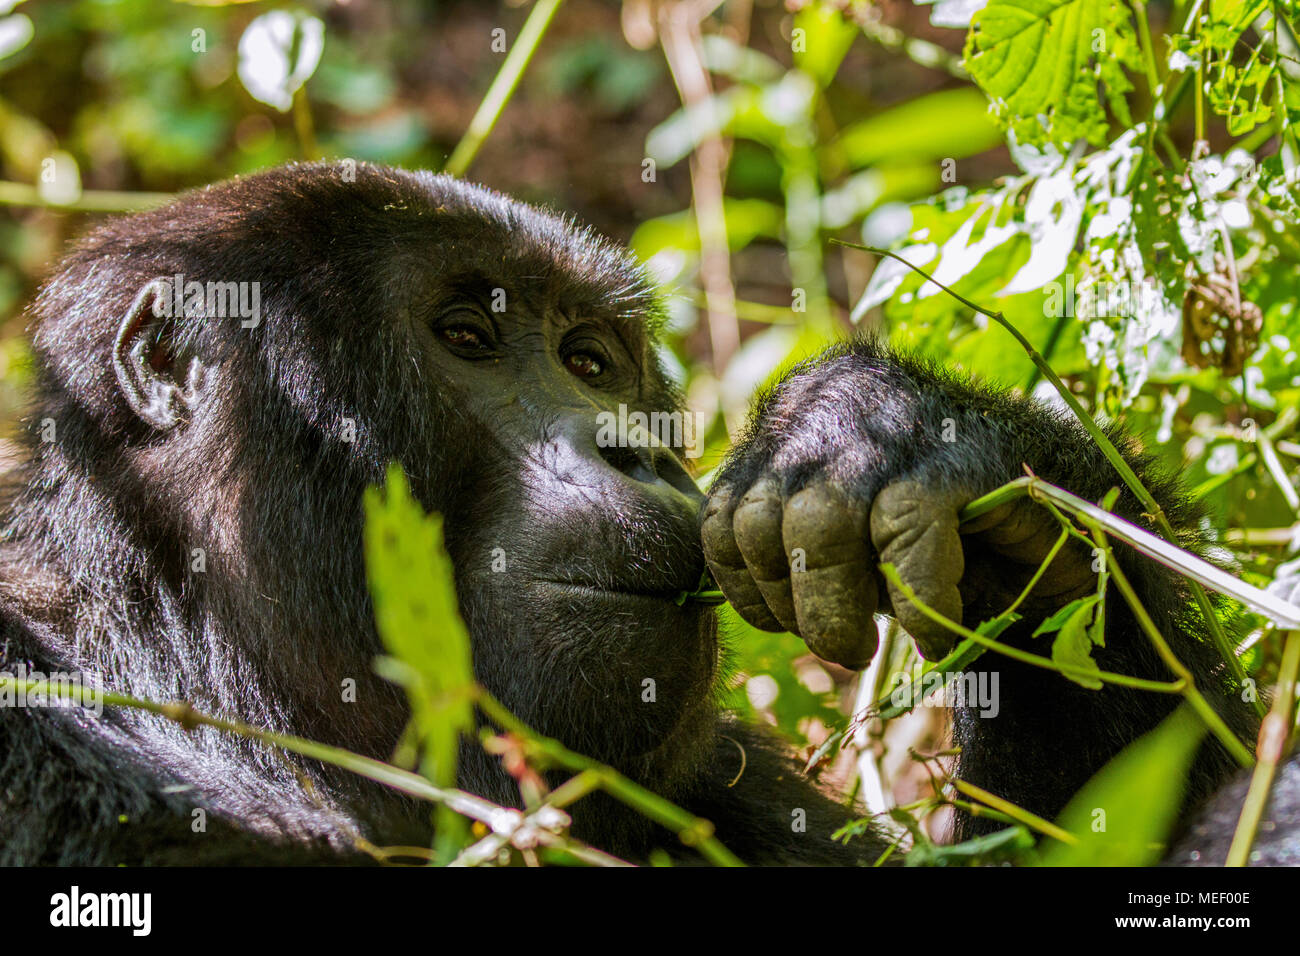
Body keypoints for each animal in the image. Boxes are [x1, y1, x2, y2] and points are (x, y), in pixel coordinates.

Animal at [0, 160, 1284, 863]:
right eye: (465, 335)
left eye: (590, 361)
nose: (637, 449)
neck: (195, 650)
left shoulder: (719, 771)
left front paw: (935, 455)